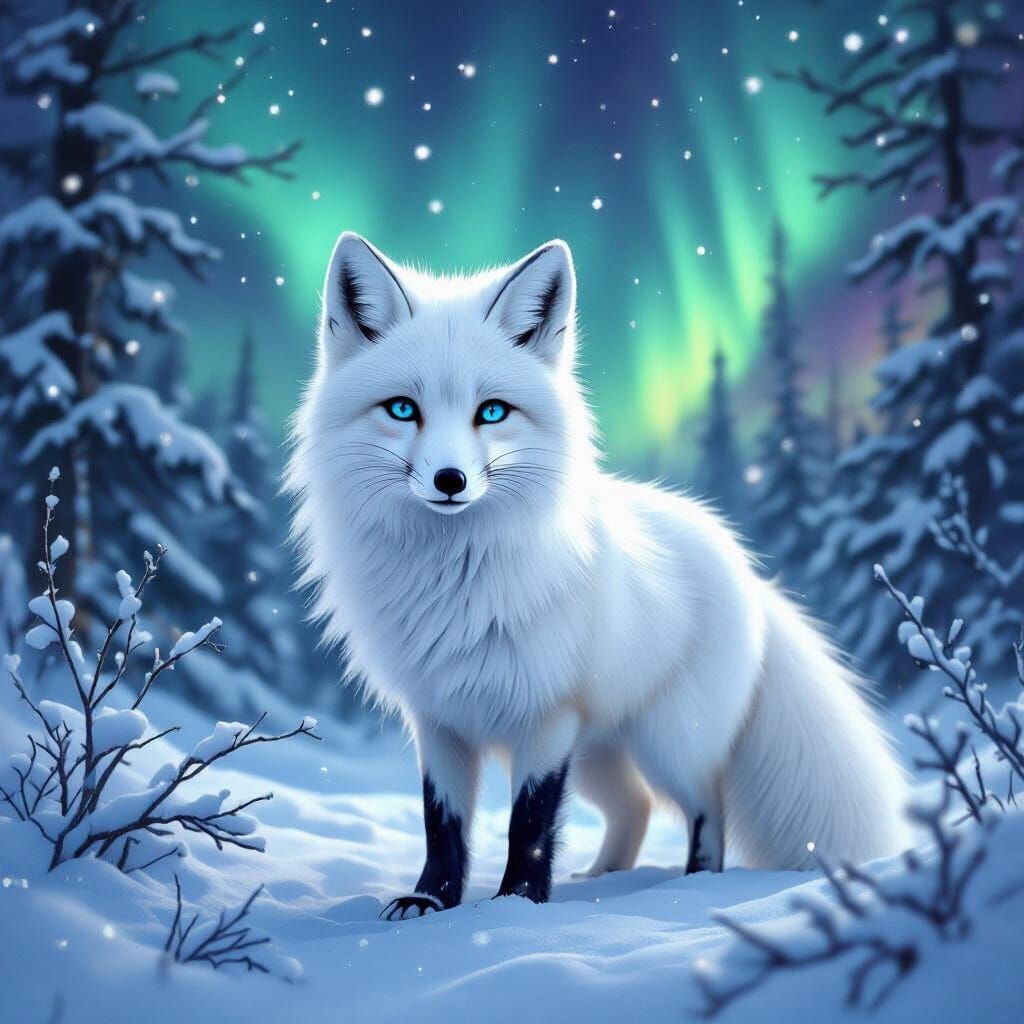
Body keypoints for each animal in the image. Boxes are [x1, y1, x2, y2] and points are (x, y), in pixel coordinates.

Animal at [287, 231, 910, 920]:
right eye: (402, 409)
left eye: (492, 412)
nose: (451, 480)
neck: (456, 580)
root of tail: (749, 571)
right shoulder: (439, 719)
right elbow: (441, 824)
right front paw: (429, 903)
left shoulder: (547, 714)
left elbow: (529, 825)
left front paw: (516, 908)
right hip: (601, 755)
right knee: (635, 806)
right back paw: (603, 879)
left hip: (668, 740)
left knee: (708, 808)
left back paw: (692, 886)